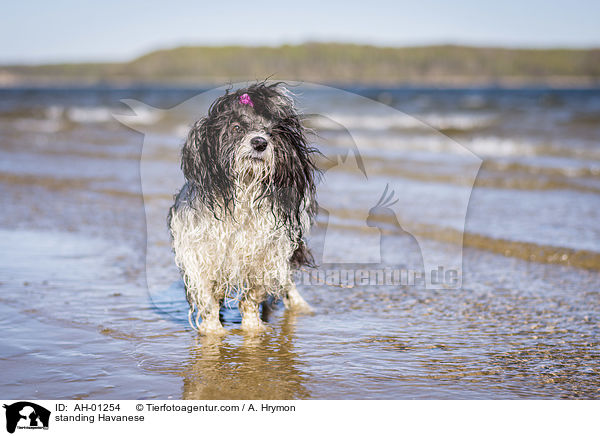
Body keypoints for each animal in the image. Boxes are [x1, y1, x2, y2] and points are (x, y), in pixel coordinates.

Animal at [168, 82, 318, 334]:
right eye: (236, 127)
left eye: (270, 131)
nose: (259, 143)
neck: (242, 193)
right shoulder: (199, 255)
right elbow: (208, 300)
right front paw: (213, 332)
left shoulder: (263, 254)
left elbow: (252, 298)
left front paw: (252, 329)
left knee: (287, 280)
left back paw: (301, 305)